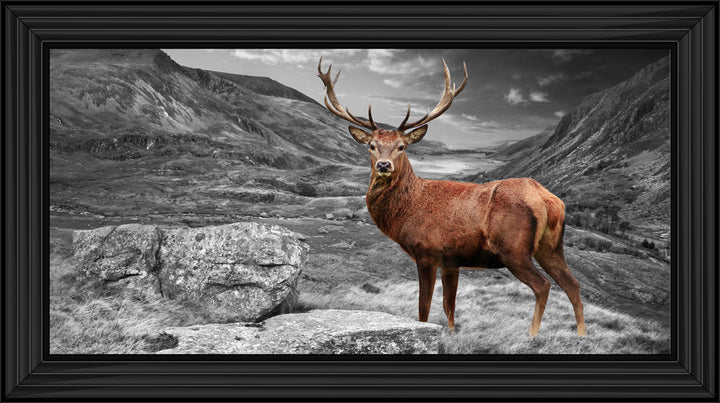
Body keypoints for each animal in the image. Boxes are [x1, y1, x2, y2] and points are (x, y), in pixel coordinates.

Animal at [317, 58, 586, 337]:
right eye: (371, 145)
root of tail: (548, 200)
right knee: (573, 284)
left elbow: (424, 308)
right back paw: (582, 335)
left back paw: (532, 335)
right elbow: (449, 307)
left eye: (402, 146)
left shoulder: (427, 252)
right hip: (551, 247)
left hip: (513, 249)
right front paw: (451, 333)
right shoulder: (451, 261)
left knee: (543, 285)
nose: (383, 165)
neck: (408, 211)